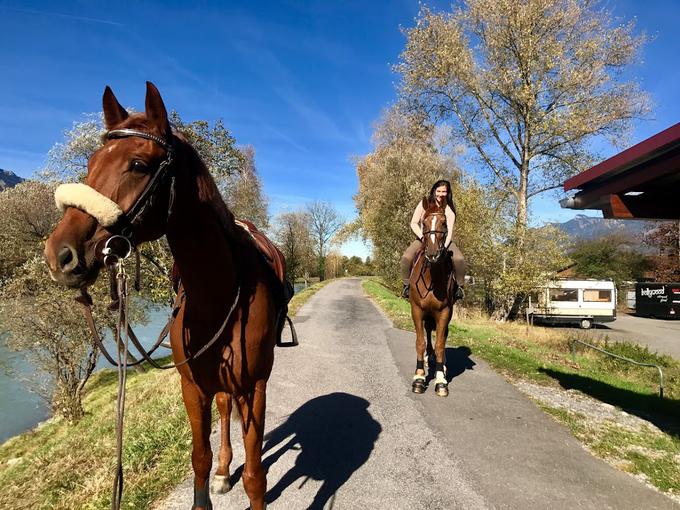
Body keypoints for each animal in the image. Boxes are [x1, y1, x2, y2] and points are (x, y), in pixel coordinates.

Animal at [43, 81, 282, 508]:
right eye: (90, 164)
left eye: (138, 165)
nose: (59, 254)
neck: (217, 294)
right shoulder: (193, 388)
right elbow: (200, 458)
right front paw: (213, 475)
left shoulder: (256, 387)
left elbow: (256, 477)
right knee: (224, 409)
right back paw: (225, 471)